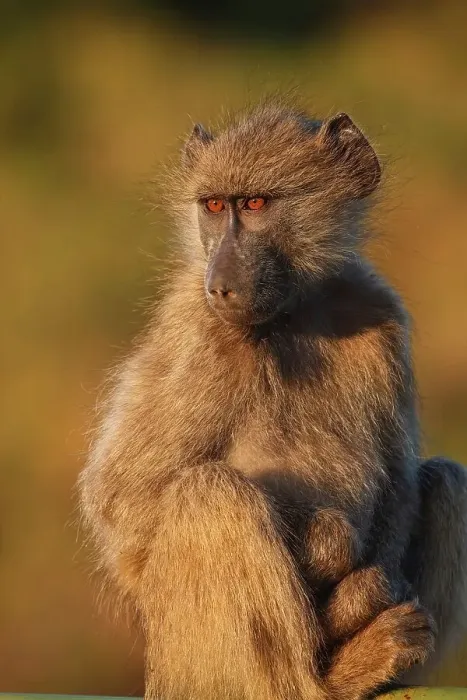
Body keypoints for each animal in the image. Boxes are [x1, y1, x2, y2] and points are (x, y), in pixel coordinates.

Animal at [79, 101, 467, 700]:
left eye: (256, 204)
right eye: (215, 206)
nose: (220, 283)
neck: (292, 313)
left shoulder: (379, 312)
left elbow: (398, 481)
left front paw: (359, 593)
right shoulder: (200, 332)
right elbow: (124, 506)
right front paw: (334, 567)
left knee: (446, 480)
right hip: (187, 666)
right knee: (209, 494)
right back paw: (336, 676)